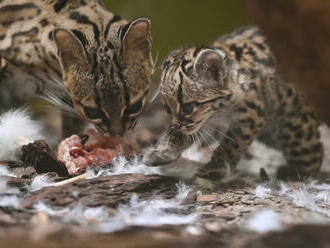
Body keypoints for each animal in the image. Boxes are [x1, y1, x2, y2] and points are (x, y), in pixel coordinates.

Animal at [143, 26, 324, 188]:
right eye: (167, 108)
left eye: (188, 107)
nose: (176, 125)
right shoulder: (205, 122)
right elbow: (182, 134)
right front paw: (161, 152)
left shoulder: (251, 115)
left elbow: (231, 145)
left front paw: (212, 171)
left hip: (293, 127)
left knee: (314, 151)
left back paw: (296, 172)